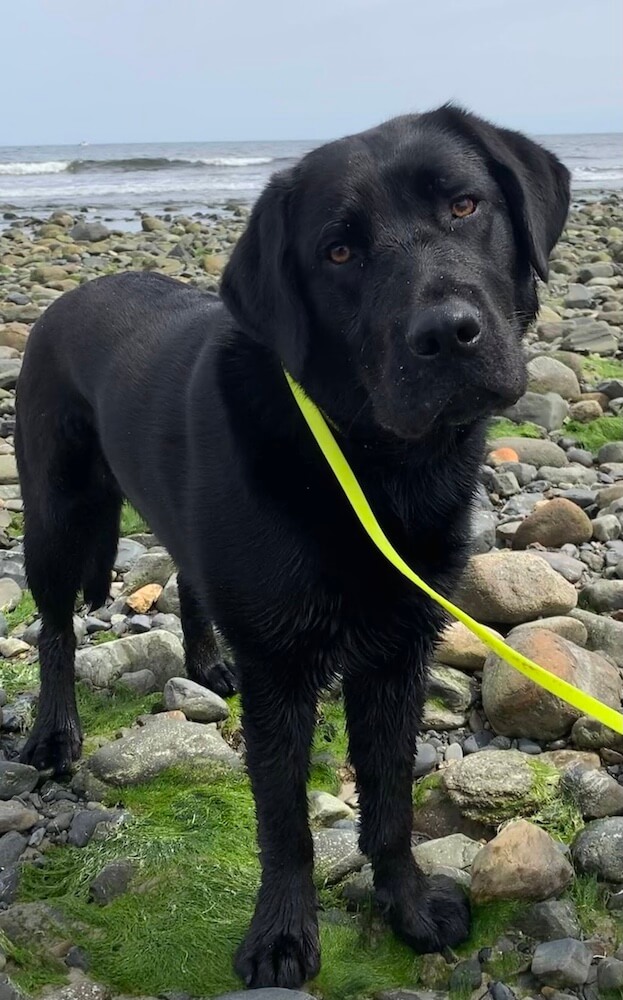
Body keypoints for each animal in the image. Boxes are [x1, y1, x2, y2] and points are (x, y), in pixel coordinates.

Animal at [15, 107, 572, 984]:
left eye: (463, 205)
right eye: (337, 252)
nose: (446, 335)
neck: (371, 463)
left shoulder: (397, 654)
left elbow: (389, 802)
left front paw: (409, 908)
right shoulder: (281, 671)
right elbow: (284, 819)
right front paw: (280, 936)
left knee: (188, 577)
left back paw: (206, 664)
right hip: (54, 514)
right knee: (58, 629)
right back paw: (54, 732)